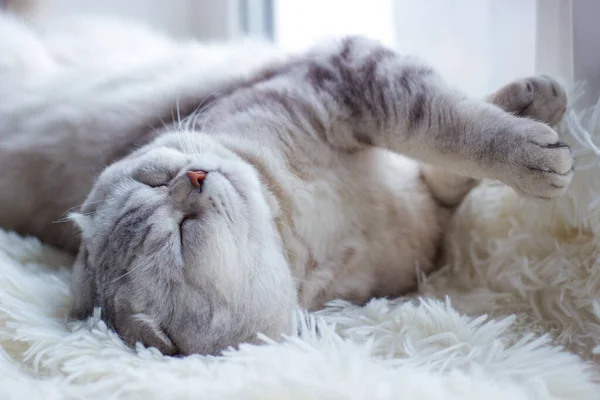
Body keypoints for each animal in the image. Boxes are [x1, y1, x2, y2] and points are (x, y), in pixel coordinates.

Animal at [0, 14, 572, 354]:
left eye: (154, 179)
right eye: (181, 235)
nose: (193, 177)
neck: (297, 215)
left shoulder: (345, 76)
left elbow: (448, 139)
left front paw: (529, 107)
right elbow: (445, 139)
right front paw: (535, 153)